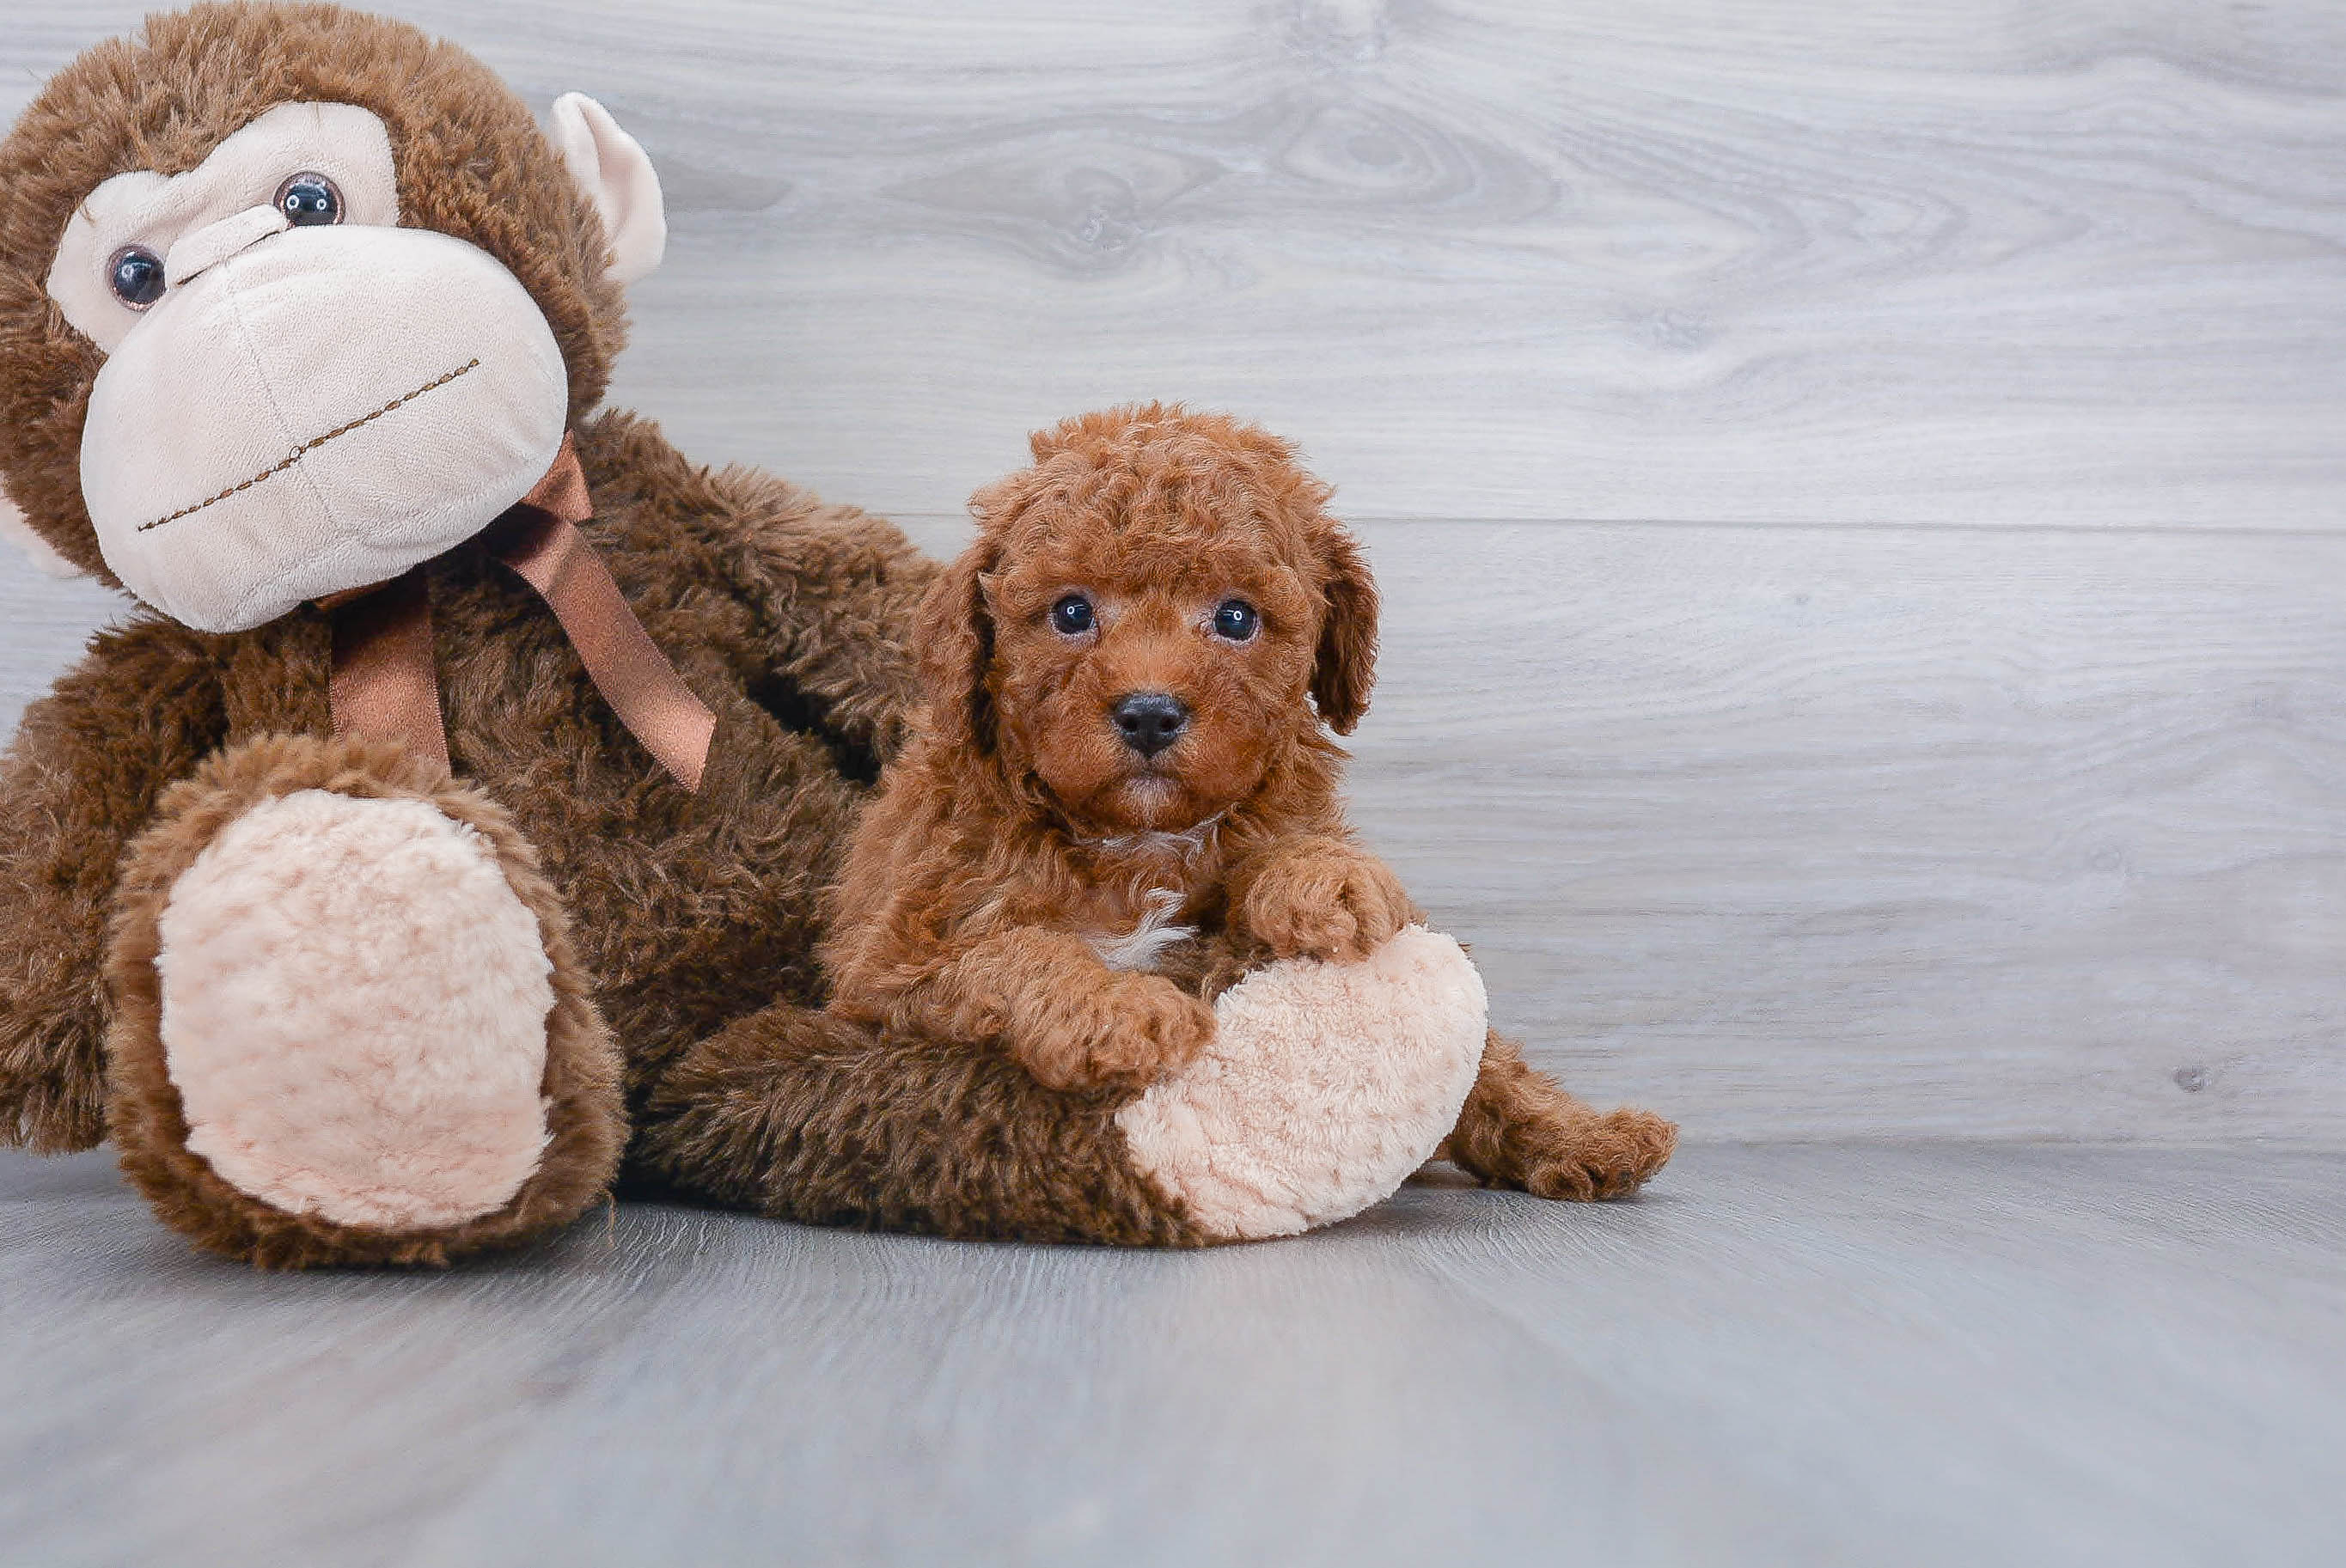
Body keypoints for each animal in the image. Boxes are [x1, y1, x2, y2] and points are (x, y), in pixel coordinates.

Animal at [834, 403, 1679, 1201]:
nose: (1149, 712)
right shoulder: (895, 962)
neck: (1139, 840)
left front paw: (1326, 877)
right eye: (1071, 612)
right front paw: (1119, 1009)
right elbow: (1013, 951)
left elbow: (1486, 1057)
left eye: (1236, 617)